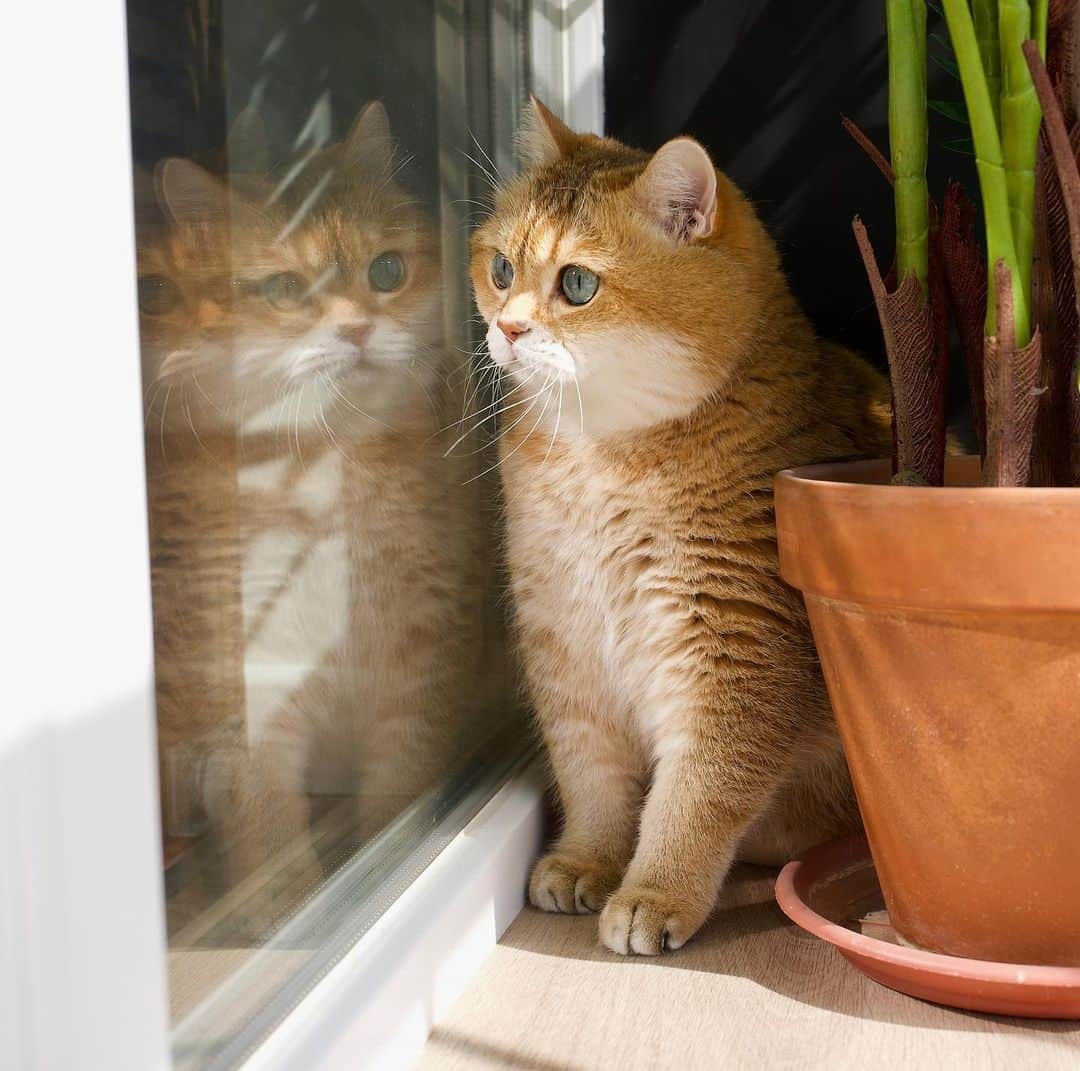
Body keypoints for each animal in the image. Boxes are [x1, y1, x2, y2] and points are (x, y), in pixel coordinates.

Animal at [141, 106, 488, 928]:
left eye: (386, 272)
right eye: (283, 288)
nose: (356, 331)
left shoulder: (419, 655)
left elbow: (398, 786)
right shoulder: (246, 679)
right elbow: (267, 828)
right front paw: (287, 906)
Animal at [468, 98, 889, 954]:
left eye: (578, 283)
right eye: (500, 270)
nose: (508, 329)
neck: (601, 460)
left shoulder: (734, 652)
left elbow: (694, 795)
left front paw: (655, 891)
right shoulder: (563, 643)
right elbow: (591, 774)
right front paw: (590, 858)